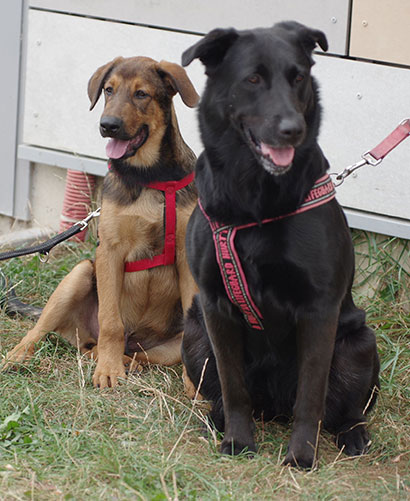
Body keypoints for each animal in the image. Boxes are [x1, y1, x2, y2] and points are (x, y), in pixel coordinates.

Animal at [3, 56, 199, 388]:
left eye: (141, 94)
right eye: (109, 90)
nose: (107, 126)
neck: (149, 175)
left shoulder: (187, 257)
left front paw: (196, 385)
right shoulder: (109, 251)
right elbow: (110, 322)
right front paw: (108, 370)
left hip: (162, 347)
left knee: (132, 352)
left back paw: (126, 361)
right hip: (80, 274)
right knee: (51, 332)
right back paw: (20, 356)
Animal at [180, 22, 380, 468]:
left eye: (298, 78)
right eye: (253, 79)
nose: (293, 129)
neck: (255, 204)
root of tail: (273, 408)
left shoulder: (319, 310)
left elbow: (311, 397)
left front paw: (301, 456)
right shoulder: (216, 305)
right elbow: (234, 388)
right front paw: (238, 441)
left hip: (359, 345)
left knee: (346, 409)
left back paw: (353, 435)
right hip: (195, 336)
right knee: (226, 394)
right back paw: (217, 421)